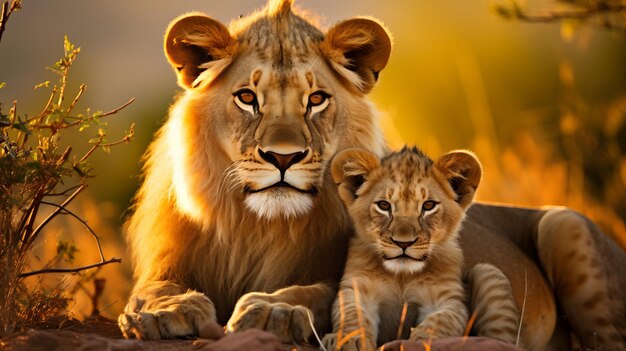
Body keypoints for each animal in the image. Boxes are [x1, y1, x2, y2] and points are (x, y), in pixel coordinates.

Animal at [118, 1, 624, 350]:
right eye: (247, 97)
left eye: (316, 99)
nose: (283, 157)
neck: (257, 226)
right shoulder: (165, 261)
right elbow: (147, 289)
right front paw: (168, 309)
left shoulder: (340, 274)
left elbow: (317, 292)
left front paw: (275, 308)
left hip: (565, 224)